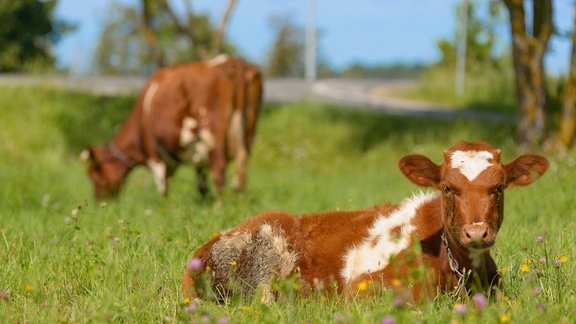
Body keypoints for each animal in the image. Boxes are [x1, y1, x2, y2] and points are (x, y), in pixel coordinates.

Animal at [81, 55, 264, 200]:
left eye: (94, 175)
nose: (98, 203)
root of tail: (232, 61)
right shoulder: (197, 154)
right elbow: (201, 184)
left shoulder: (154, 154)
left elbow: (163, 187)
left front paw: (165, 209)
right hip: (248, 131)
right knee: (241, 169)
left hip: (212, 131)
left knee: (219, 169)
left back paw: (219, 207)